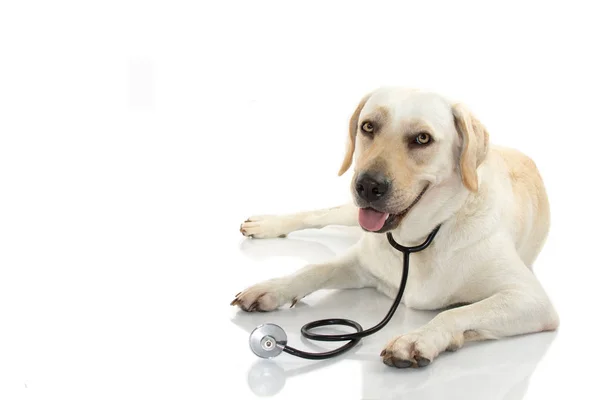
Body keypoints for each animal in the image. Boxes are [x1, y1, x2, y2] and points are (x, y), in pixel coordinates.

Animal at [232, 86, 560, 368]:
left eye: (422, 139)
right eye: (368, 127)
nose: (367, 185)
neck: (421, 236)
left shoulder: (530, 299)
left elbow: (457, 312)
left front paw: (417, 339)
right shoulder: (361, 263)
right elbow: (314, 269)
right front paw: (272, 288)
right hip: (351, 212)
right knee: (319, 215)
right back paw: (267, 224)